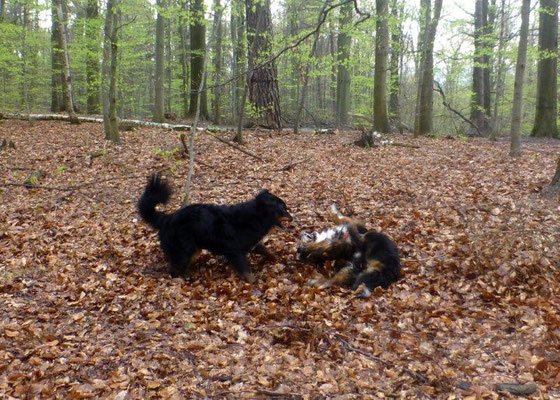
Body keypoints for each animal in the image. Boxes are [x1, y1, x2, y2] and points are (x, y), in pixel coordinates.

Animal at [138, 173, 294, 282]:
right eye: (284, 209)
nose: (293, 218)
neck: (256, 216)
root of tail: (167, 218)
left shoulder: (253, 244)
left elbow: (268, 252)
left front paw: (277, 260)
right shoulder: (235, 251)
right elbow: (247, 270)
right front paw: (253, 283)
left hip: (193, 250)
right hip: (183, 251)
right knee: (174, 270)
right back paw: (179, 280)